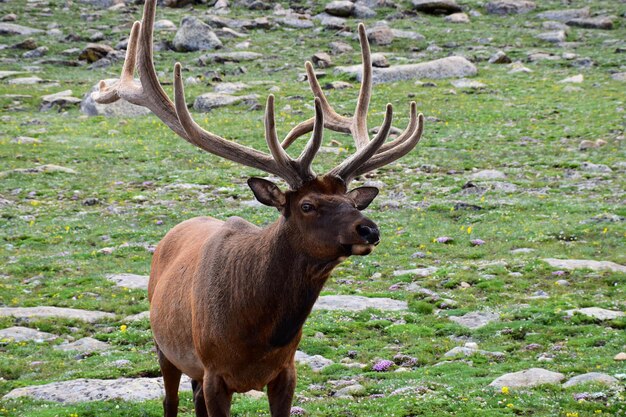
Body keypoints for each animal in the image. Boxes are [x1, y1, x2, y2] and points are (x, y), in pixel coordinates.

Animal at [92, 1, 422, 414]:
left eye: (350, 200)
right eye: (307, 205)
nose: (369, 229)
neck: (259, 335)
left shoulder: (286, 371)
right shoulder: (215, 372)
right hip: (165, 347)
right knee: (170, 400)